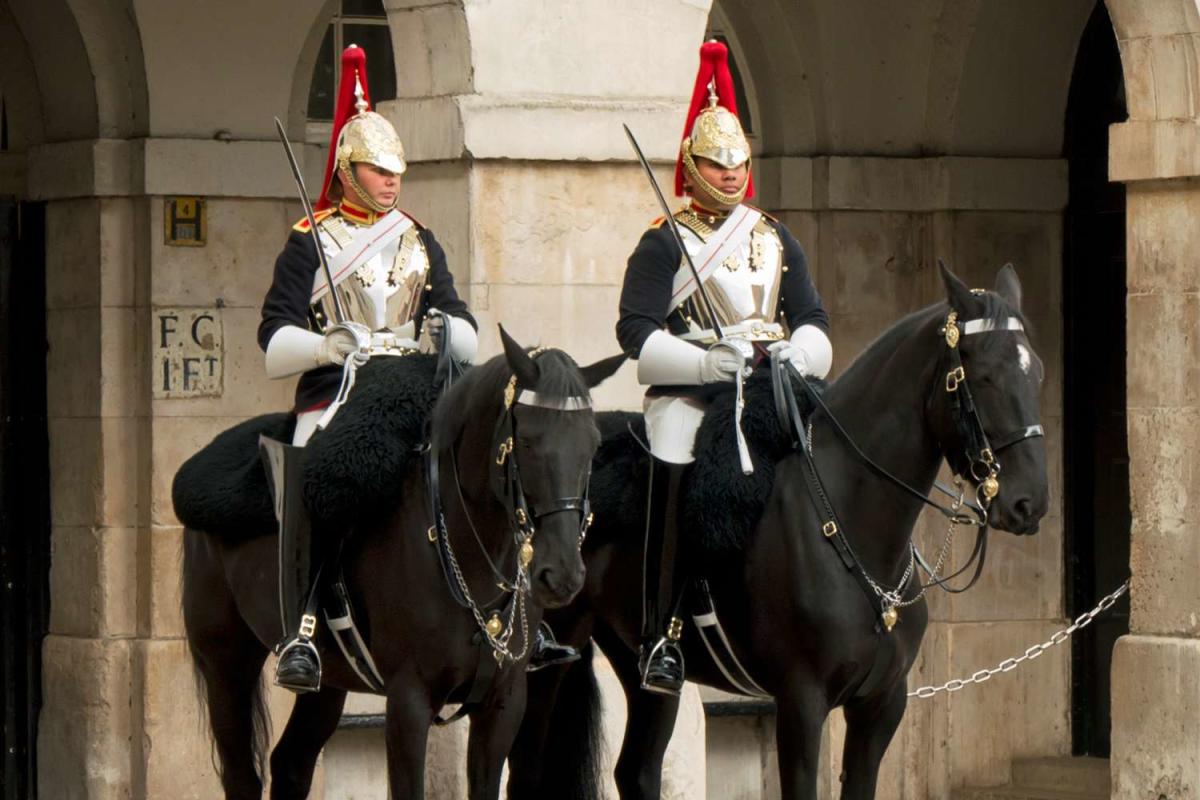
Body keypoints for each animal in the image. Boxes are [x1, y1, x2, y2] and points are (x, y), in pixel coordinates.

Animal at [180, 328, 628, 796]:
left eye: (593, 444)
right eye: (526, 440)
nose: (562, 576)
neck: (467, 558)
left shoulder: (502, 705)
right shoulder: (408, 702)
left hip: (329, 681)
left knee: (291, 763)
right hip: (225, 659)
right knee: (242, 776)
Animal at [506, 267, 1051, 800]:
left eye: (1037, 374)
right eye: (982, 376)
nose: (1030, 503)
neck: (850, 523)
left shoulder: (880, 706)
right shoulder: (801, 702)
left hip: (639, 667)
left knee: (636, 771)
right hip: (551, 656)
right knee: (527, 772)